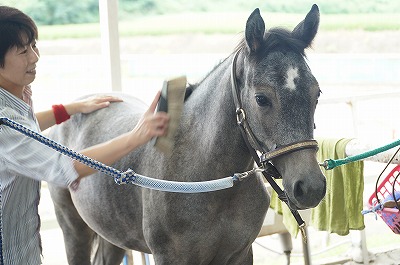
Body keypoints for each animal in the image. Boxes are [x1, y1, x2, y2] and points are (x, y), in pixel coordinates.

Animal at [48, 4, 326, 264]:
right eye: (261, 98)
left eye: (317, 94)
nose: (310, 187)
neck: (208, 181)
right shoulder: (170, 257)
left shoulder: (240, 255)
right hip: (73, 227)